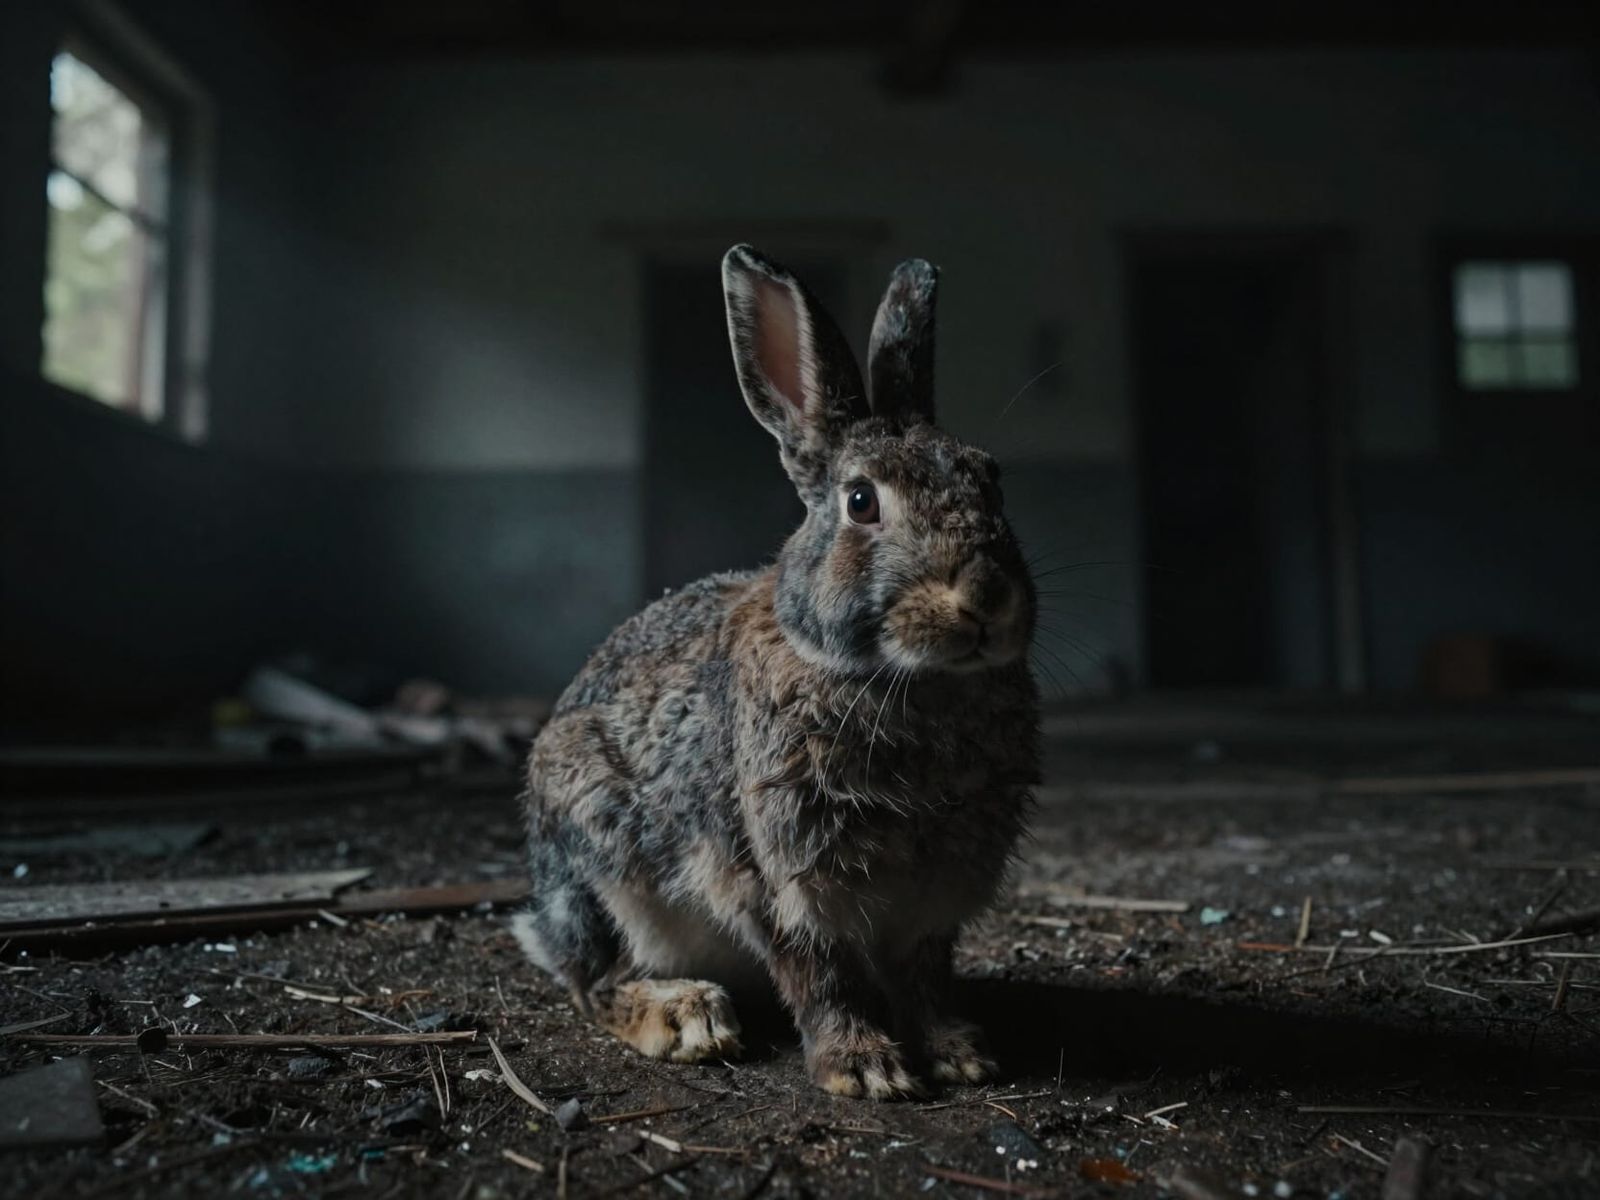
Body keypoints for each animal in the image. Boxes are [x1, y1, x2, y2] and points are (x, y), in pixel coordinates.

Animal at [513, 245, 1039, 1099]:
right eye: (861, 501)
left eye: (990, 478)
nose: (985, 600)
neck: (900, 679)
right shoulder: (775, 874)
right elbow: (819, 974)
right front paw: (865, 1069)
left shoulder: (932, 902)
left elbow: (926, 978)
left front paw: (961, 1053)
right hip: (598, 853)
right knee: (593, 984)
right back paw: (686, 1017)